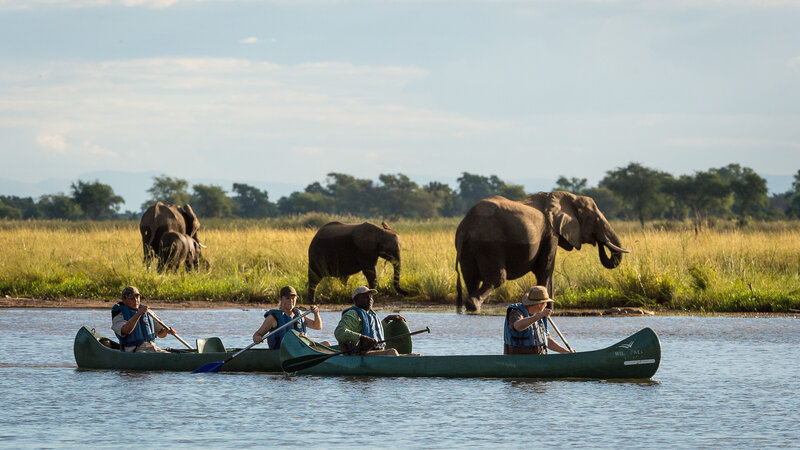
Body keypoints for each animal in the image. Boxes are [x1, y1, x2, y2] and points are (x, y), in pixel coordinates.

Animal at [454, 192, 628, 314]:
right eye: (596, 219)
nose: (600, 242)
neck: (567, 196)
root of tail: (467, 226)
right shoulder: (550, 233)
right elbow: (546, 269)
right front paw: (547, 309)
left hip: (469, 247)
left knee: (471, 278)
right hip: (490, 244)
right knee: (496, 278)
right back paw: (474, 306)